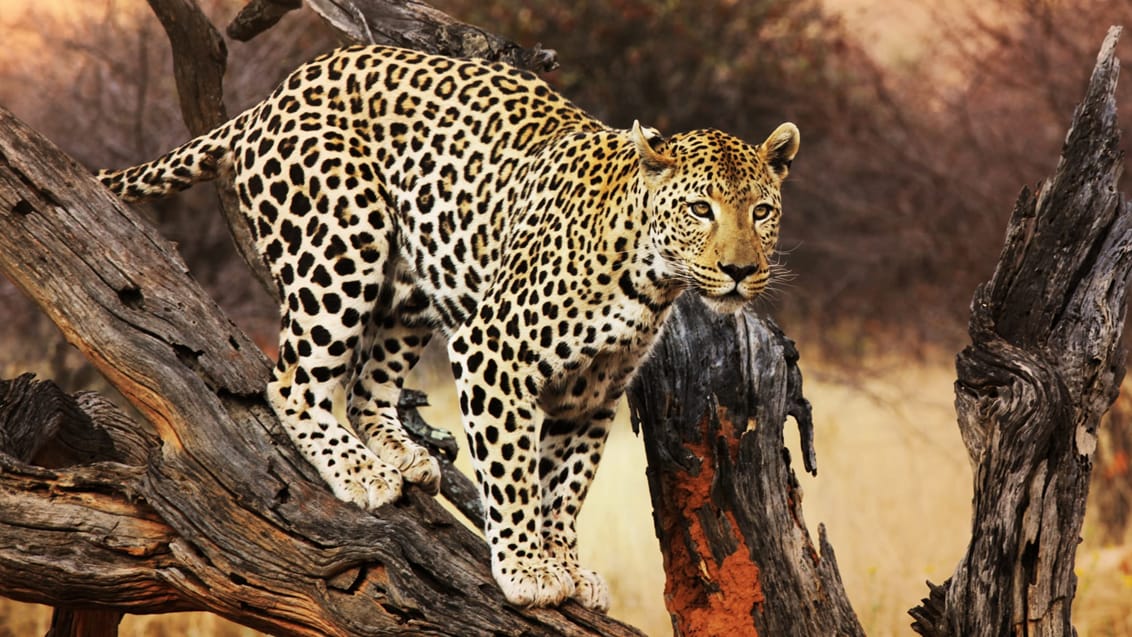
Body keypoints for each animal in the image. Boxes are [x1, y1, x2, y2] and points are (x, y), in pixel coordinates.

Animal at [98, 44, 799, 610]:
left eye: (762, 211)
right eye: (700, 209)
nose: (740, 271)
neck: (649, 277)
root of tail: (272, 95)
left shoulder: (593, 393)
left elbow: (566, 486)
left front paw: (567, 563)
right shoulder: (497, 350)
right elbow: (514, 471)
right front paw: (527, 570)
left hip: (411, 287)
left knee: (366, 386)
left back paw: (400, 451)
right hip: (340, 249)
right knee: (294, 381)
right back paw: (360, 471)